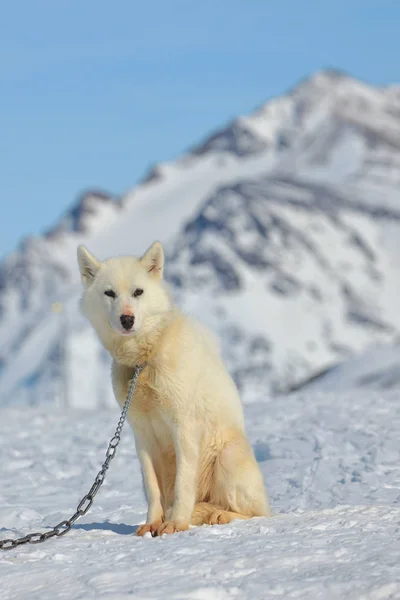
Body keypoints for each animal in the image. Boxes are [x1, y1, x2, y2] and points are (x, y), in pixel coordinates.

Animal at [77, 241, 272, 536]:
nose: (126, 319)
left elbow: (183, 485)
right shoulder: (142, 436)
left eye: (138, 292)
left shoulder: (185, 427)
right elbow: (152, 489)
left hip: (227, 459)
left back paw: (220, 515)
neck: (144, 361)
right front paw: (152, 524)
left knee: (258, 513)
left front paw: (176, 524)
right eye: (109, 293)